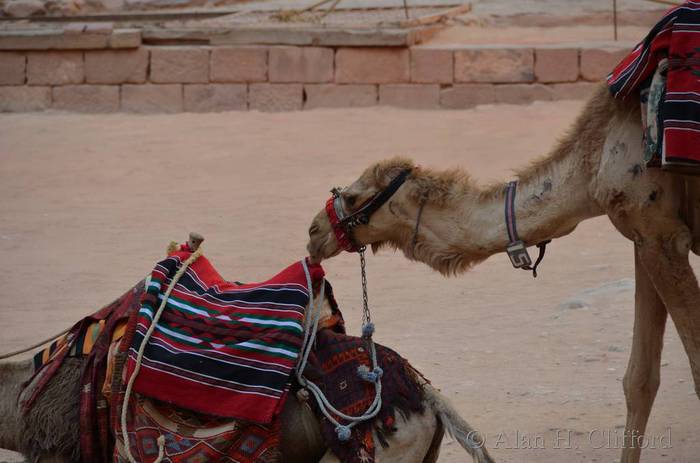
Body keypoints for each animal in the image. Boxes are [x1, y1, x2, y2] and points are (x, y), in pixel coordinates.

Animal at [306, 83, 700, 463]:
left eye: (353, 198)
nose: (314, 231)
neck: (590, 167)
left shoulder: (661, 233)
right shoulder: (643, 235)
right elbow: (640, 381)